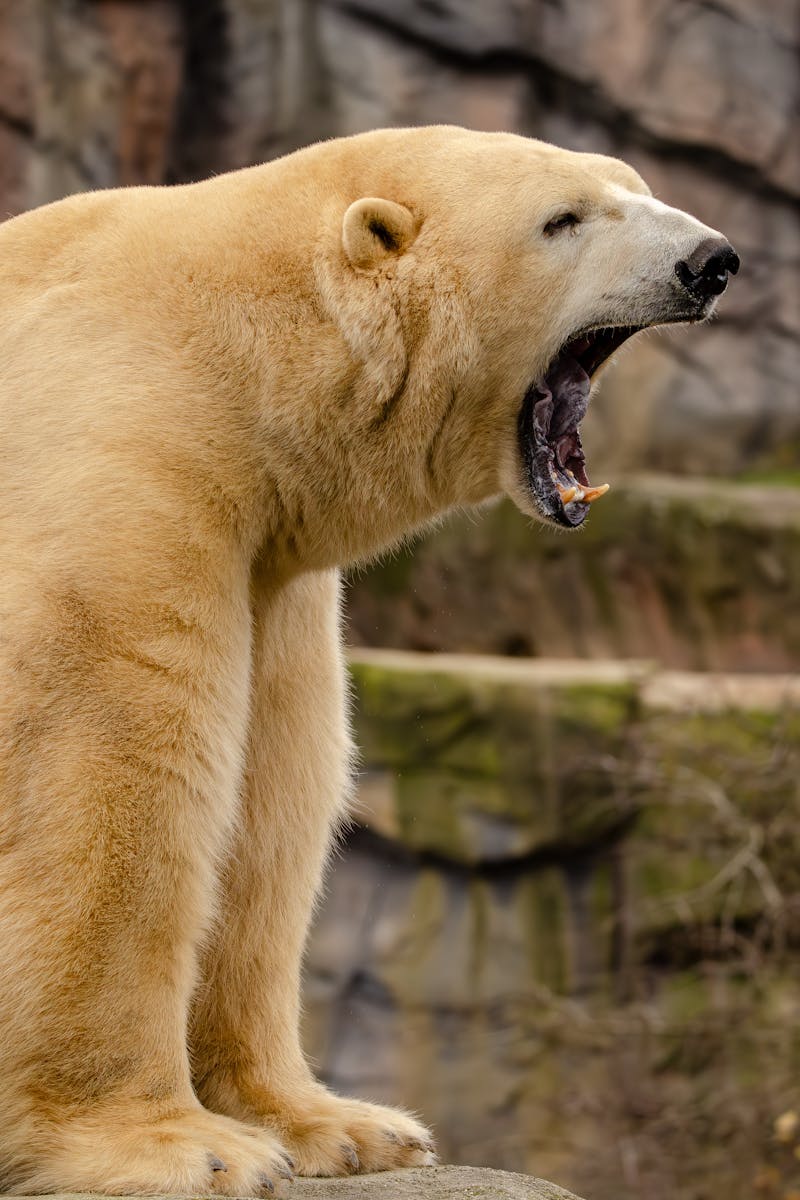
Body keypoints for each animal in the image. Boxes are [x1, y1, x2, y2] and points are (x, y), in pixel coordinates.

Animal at [0, 126, 737, 1194]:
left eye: (636, 185)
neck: (238, 344)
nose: (710, 260)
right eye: (563, 218)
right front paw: (176, 1145)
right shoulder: (120, 450)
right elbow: (105, 761)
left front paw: (338, 1126)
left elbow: (277, 791)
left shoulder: (270, 557)